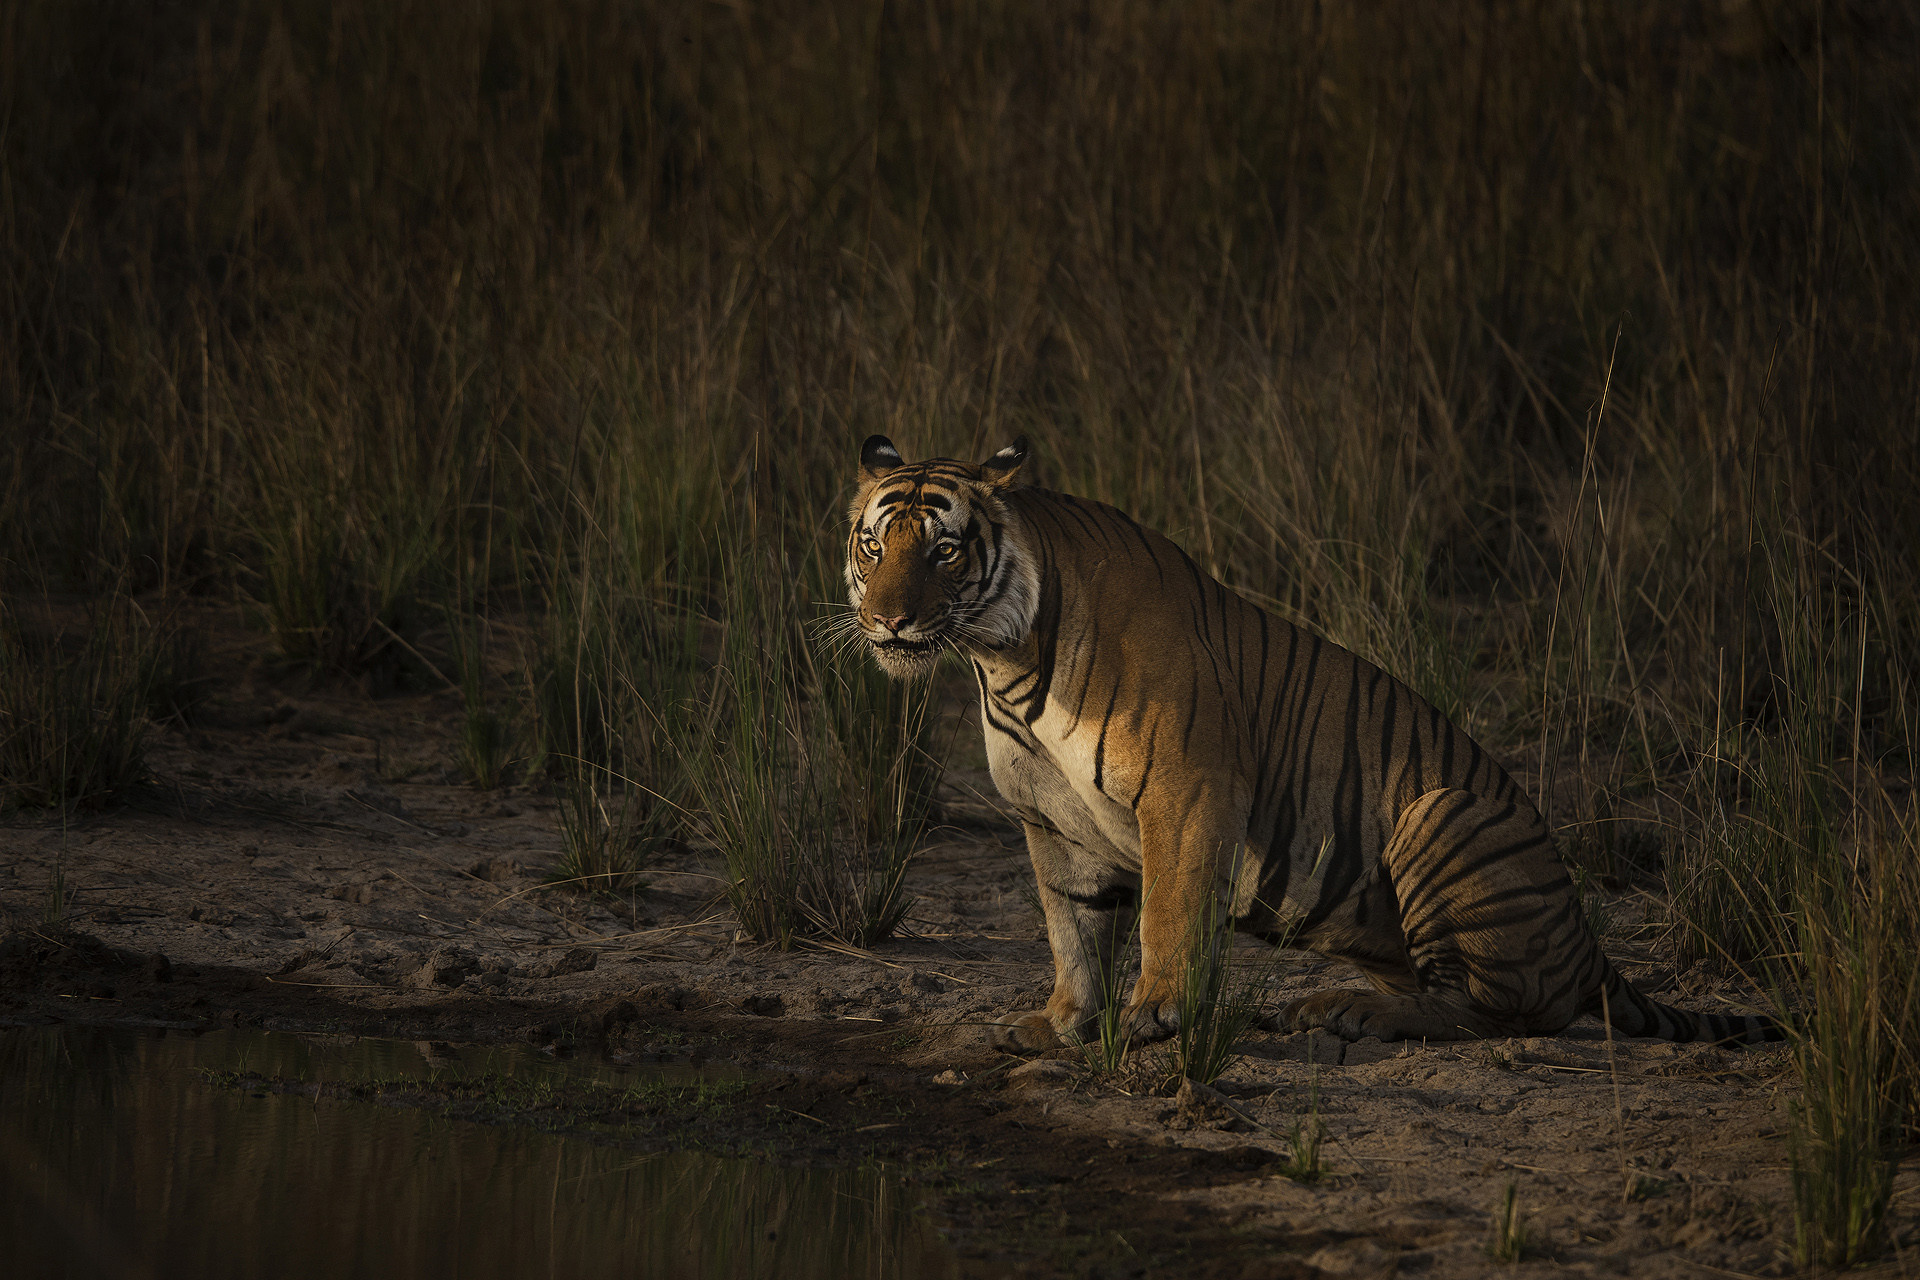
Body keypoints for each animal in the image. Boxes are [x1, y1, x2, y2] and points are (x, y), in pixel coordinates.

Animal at [844, 434, 1781, 1048]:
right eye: (874, 544)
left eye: (945, 550)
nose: (887, 620)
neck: (1003, 661)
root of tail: (1589, 940)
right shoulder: (1050, 822)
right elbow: (1071, 930)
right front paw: (1060, 1023)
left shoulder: (1188, 789)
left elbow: (1166, 911)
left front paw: (1154, 1012)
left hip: (1442, 813)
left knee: (1497, 1009)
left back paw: (1352, 1014)